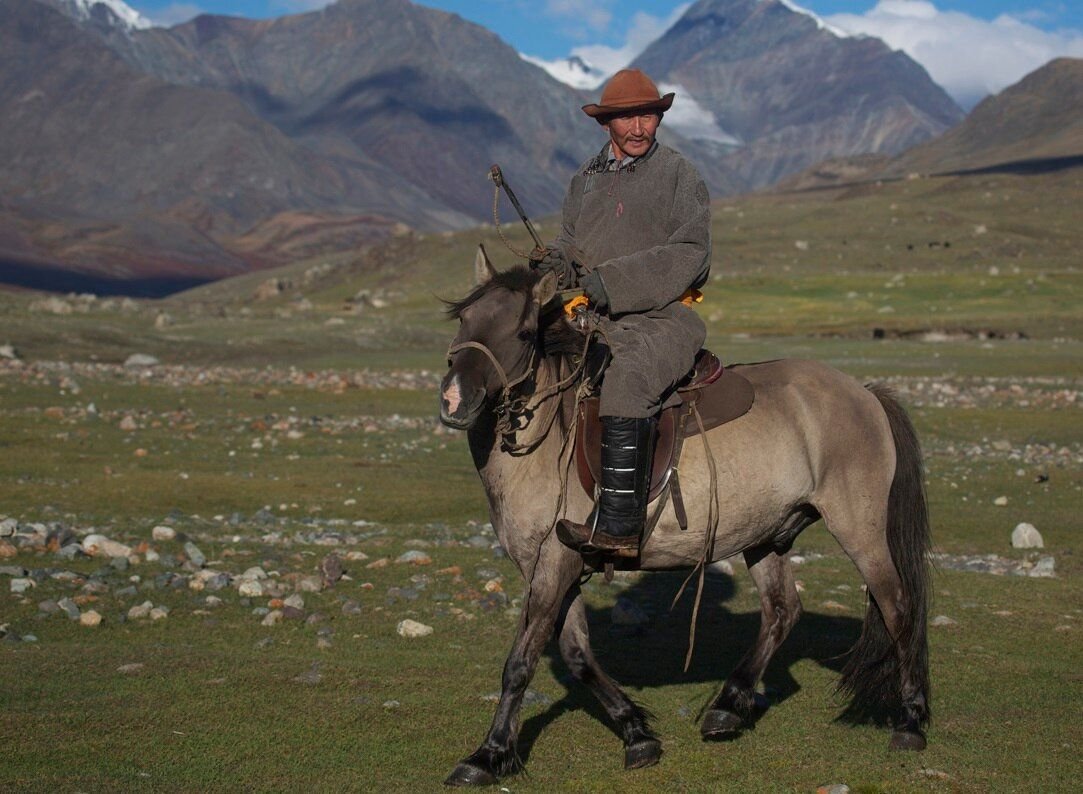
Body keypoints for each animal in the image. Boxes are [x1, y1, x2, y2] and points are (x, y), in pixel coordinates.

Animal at [437, 249, 931, 788]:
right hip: (766, 534)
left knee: (898, 607)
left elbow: (520, 662)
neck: (547, 439)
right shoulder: (550, 568)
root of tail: (865, 394)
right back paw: (728, 707)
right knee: (782, 611)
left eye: (524, 332)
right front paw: (636, 732)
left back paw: (910, 721)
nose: (455, 399)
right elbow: (577, 655)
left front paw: (487, 755)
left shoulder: (554, 562)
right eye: (464, 320)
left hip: (860, 529)